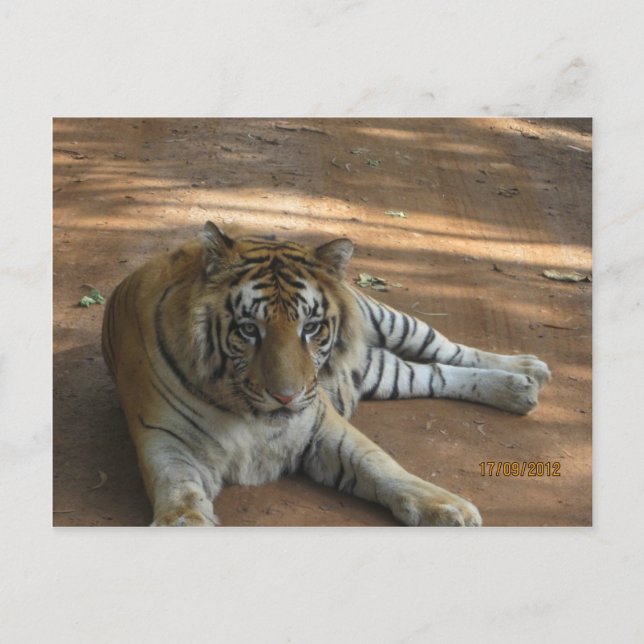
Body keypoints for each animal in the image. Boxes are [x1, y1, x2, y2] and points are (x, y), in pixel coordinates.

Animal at [101, 221, 550, 527]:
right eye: (249, 329)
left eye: (311, 326)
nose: (285, 396)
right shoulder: (166, 441)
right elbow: (180, 494)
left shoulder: (321, 423)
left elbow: (381, 466)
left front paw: (448, 507)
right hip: (384, 373)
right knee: (435, 373)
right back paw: (520, 388)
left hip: (389, 320)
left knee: (446, 349)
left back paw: (528, 371)